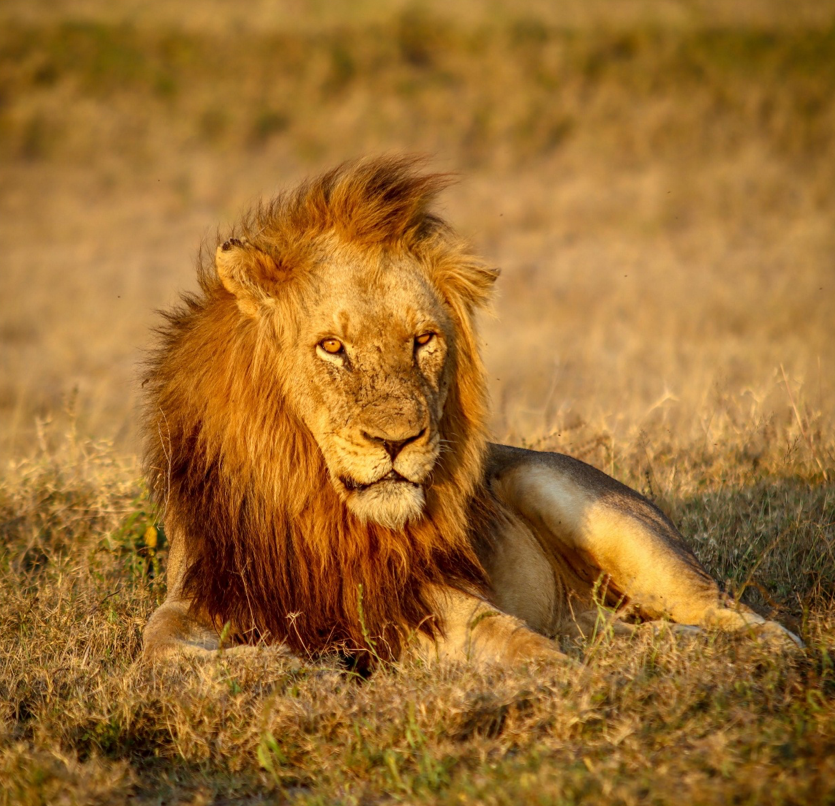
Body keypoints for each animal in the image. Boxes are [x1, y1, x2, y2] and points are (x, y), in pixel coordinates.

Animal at [142, 155, 800, 668]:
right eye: (332, 346)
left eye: (423, 340)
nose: (398, 442)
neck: (321, 512)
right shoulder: (202, 589)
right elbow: (159, 643)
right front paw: (287, 667)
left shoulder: (431, 594)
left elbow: (514, 639)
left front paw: (557, 678)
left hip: (582, 504)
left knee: (737, 612)